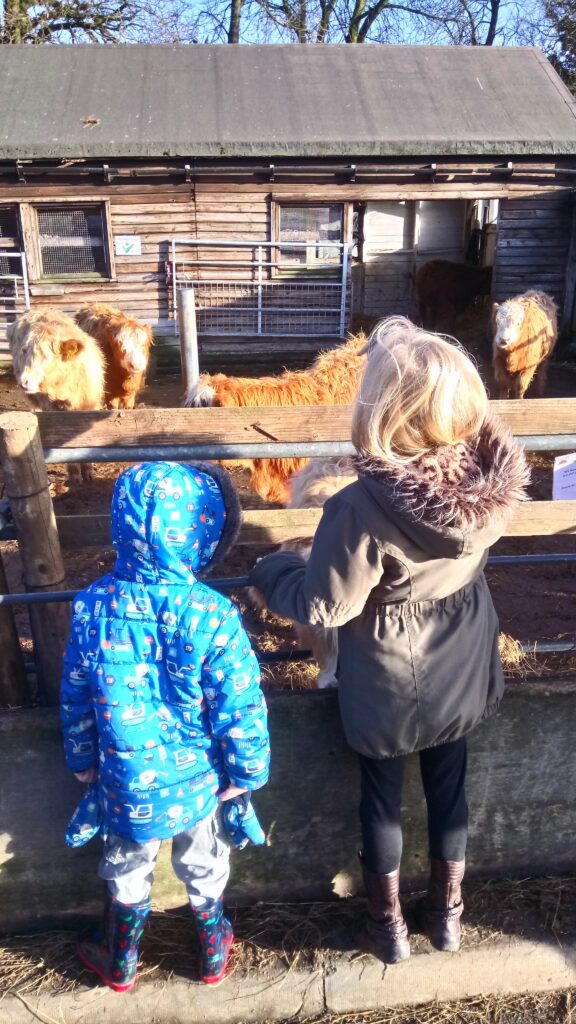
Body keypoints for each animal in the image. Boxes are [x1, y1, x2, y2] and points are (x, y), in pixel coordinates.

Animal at [7, 307, 105, 483]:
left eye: (46, 357)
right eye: (24, 352)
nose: (24, 382)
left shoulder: (90, 405)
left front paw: (88, 471)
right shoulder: (53, 410)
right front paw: (75, 474)